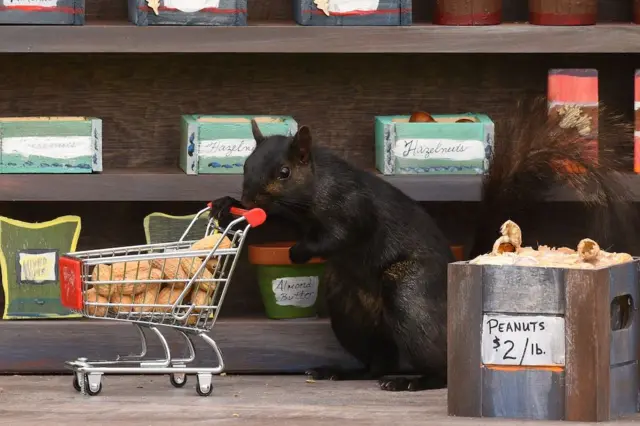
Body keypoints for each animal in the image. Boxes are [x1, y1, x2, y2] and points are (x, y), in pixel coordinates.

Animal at [211, 97, 640, 392]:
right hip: (351, 311)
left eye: (284, 172)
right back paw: (341, 371)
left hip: (408, 293)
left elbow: (337, 236)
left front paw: (299, 250)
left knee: (441, 368)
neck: (314, 188)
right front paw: (224, 205)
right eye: (246, 164)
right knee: (378, 361)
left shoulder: (351, 207)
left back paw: (412, 381)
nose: (248, 197)